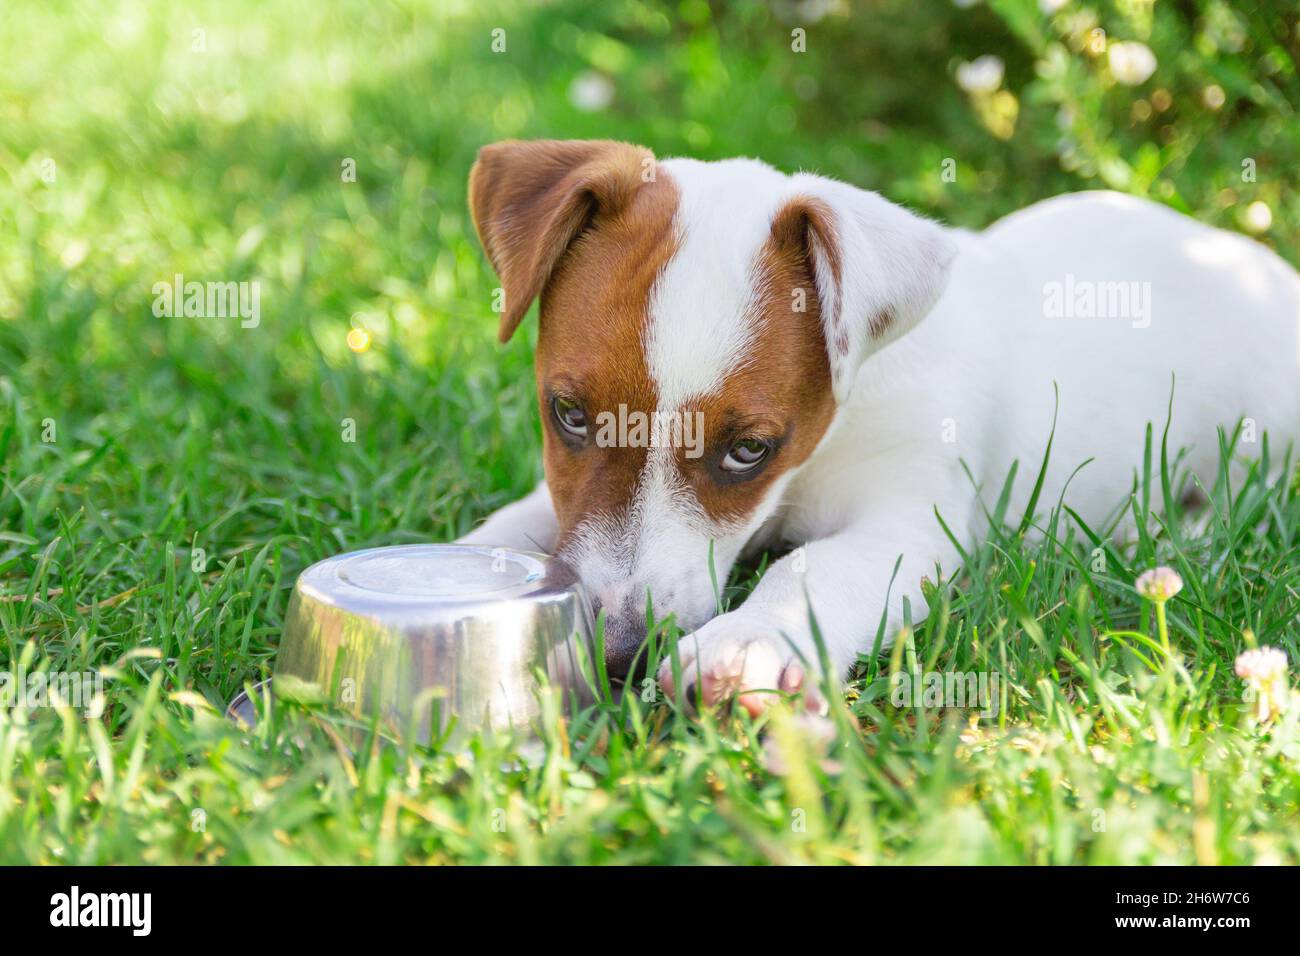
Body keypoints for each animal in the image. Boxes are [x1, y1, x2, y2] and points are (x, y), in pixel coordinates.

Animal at [457, 138, 1300, 712]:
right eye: (568, 415)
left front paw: (746, 642)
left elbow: (815, 567)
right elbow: (520, 524)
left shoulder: (911, 525)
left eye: (750, 449)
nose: (619, 653)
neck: (815, 455)